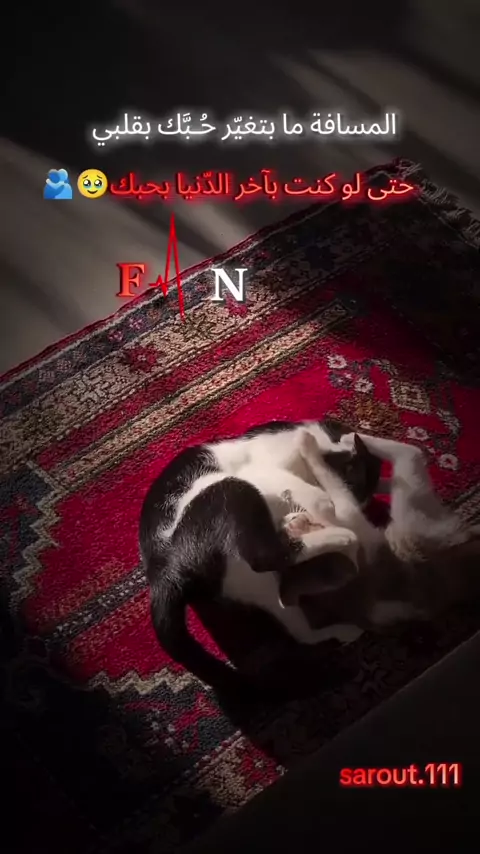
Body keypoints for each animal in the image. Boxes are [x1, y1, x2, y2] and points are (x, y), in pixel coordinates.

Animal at [140, 418, 381, 690]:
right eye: (353, 483)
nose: (360, 505)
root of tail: (163, 573)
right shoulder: (264, 470)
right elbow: (317, 496)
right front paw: (322, 508)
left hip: (253, 584)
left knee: (298, 625)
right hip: (228, 488)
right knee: (264, 556)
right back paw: (338, 536)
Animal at [280, 430, 480, 633]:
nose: (287, 518)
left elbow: (331, 480)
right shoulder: (349, 515)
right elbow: (332, 482)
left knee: (407, 455)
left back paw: (347, 440)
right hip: (412, 505)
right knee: (411, 453)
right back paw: (344, 438)